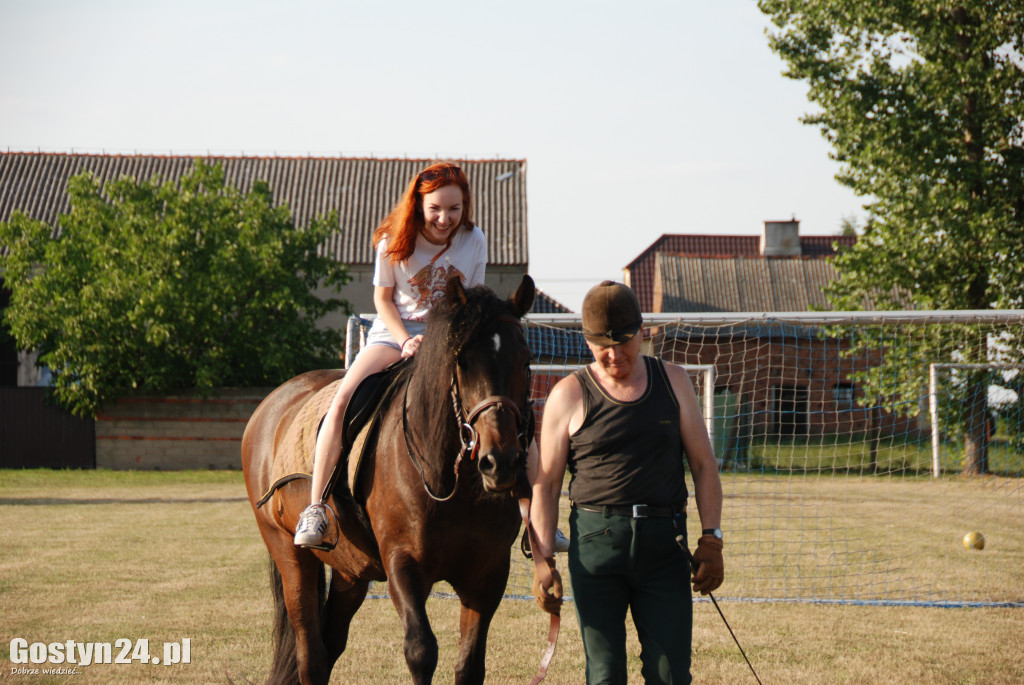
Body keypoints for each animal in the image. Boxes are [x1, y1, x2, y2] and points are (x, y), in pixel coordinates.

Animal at [240, 274, 536, 683]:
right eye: (461, 361)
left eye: (525, 362)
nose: (500, 461)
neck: (452, 484)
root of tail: (270, 406)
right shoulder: (403, 565)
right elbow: (421, 651)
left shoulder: (488, 575)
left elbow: (470, 666)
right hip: (289, 554)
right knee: (310, 653)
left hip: (351, 571)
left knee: (329, 644)